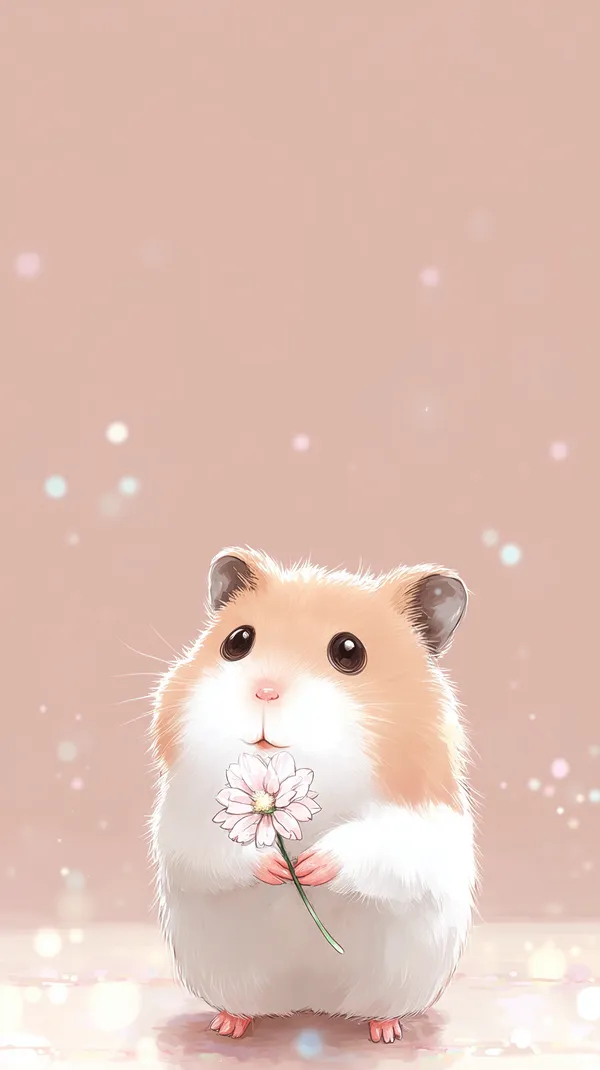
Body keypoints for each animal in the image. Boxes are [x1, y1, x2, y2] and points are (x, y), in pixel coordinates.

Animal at [150, 546, 477, 1045]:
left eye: (349, 651)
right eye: (237, 641)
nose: (265, 691)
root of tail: (310, 1003)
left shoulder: (425, 822)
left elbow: (381, 844)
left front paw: (309, 867)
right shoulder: (188, 812)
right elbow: (212, 848)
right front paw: (280, 868)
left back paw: (385, 1031)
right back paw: (227, 1025)